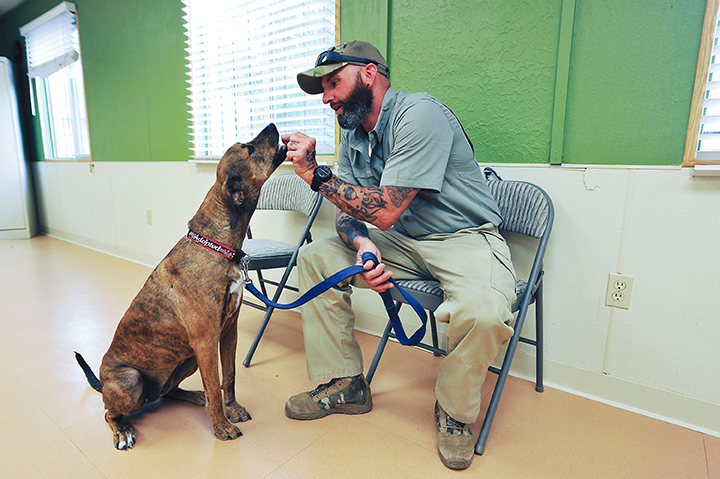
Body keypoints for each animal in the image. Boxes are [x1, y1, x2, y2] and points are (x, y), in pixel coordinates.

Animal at [74, 123, 286, 450]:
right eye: (249, 149)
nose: (273, 126)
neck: (217, 245)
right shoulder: (206, 341)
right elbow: (215, 386)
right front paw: (221, 426)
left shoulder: (228, 331)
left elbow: (229, 377)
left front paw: (233, 409)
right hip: (132, 380)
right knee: (110, 412)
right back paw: (122, 430)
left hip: (187, 361)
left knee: (167, 392)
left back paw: (191, 395)